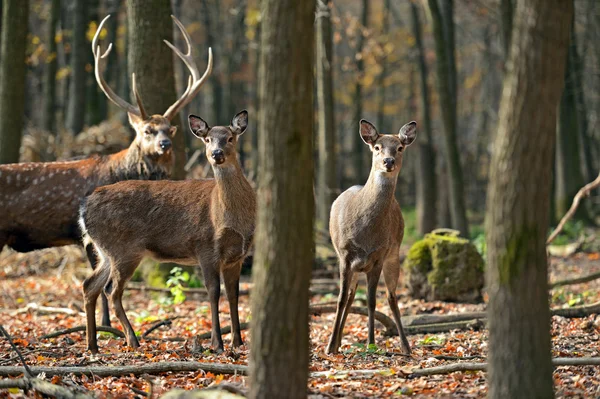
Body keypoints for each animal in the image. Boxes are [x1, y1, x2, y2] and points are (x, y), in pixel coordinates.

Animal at [0, 14, 212, 330]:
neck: (118, 170)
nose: (165, 145)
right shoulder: (86, 237)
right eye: (147, 130)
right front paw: (106, 324)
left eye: (169, 128)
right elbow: (102, 285)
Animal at [79, 110, 255, 356]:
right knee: (111, 290)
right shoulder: (205, 247)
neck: (229, 217)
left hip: (105, 251)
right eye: (207, 139)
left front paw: (237, 342)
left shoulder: (236, 256)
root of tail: (83, 207)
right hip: (123, 249)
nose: (216, 154)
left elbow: (233, 294)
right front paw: (217, 343)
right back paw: (132, 340)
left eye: (230, 138)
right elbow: (213, 292)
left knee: (90, 285)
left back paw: (93, 345)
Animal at [324, 119, 418, 356]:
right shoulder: (345, 256)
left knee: (391, 297)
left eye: (400, 147)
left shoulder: (378, 257)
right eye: (377, 147)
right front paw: (330, 346)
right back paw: (338, 342)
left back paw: (406, 346)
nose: (388, 161)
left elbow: (372, 301)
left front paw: (371, 343)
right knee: (349, 297)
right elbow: (340, 299)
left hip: (393, 255)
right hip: (355, 266)